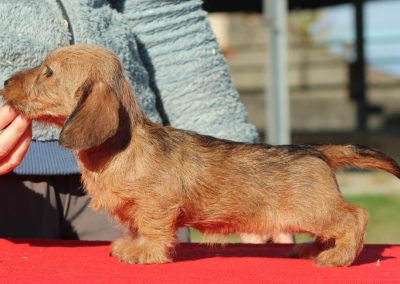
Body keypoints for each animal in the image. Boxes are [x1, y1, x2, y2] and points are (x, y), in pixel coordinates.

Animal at [1, 44, 398, 266]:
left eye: (48, 72)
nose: (5, 81)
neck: (123, 147)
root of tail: (314, 149)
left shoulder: (156, 206)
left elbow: (153, 229)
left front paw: (145, 254)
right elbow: (136, 227)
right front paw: (132, 245)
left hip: (315, 210)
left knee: (355, 217)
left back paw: (338, 257)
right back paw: (315, 250)